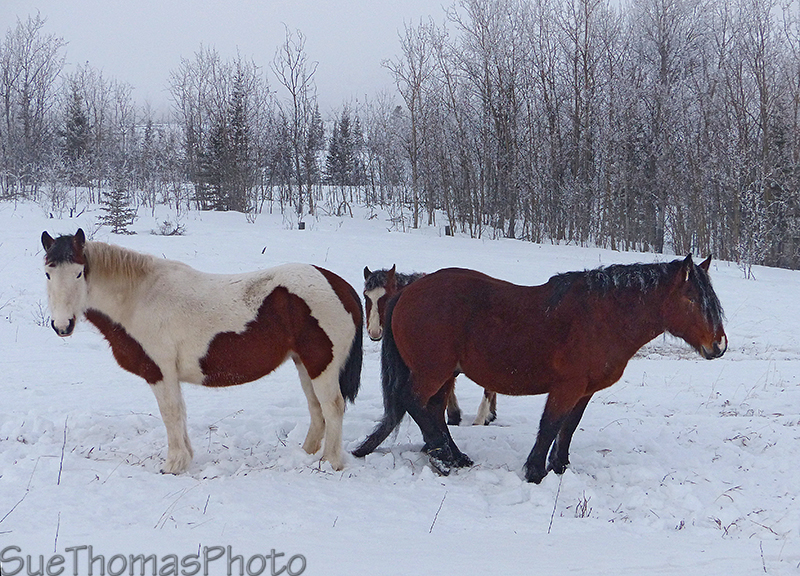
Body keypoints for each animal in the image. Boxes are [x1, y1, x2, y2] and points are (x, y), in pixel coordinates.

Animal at [41, 229, 363, 474]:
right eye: (47, 273)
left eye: (79, 273)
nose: (62, 326)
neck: (139, 299)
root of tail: (341, 286)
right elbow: (180, 414)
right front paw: (185, 459)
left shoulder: (160, 372)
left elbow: (171, 414)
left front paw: (173, 465)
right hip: (304, 364)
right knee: (316, 409)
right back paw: (305, 454)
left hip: (321, 364)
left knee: (333, 407)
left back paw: (329, 462)